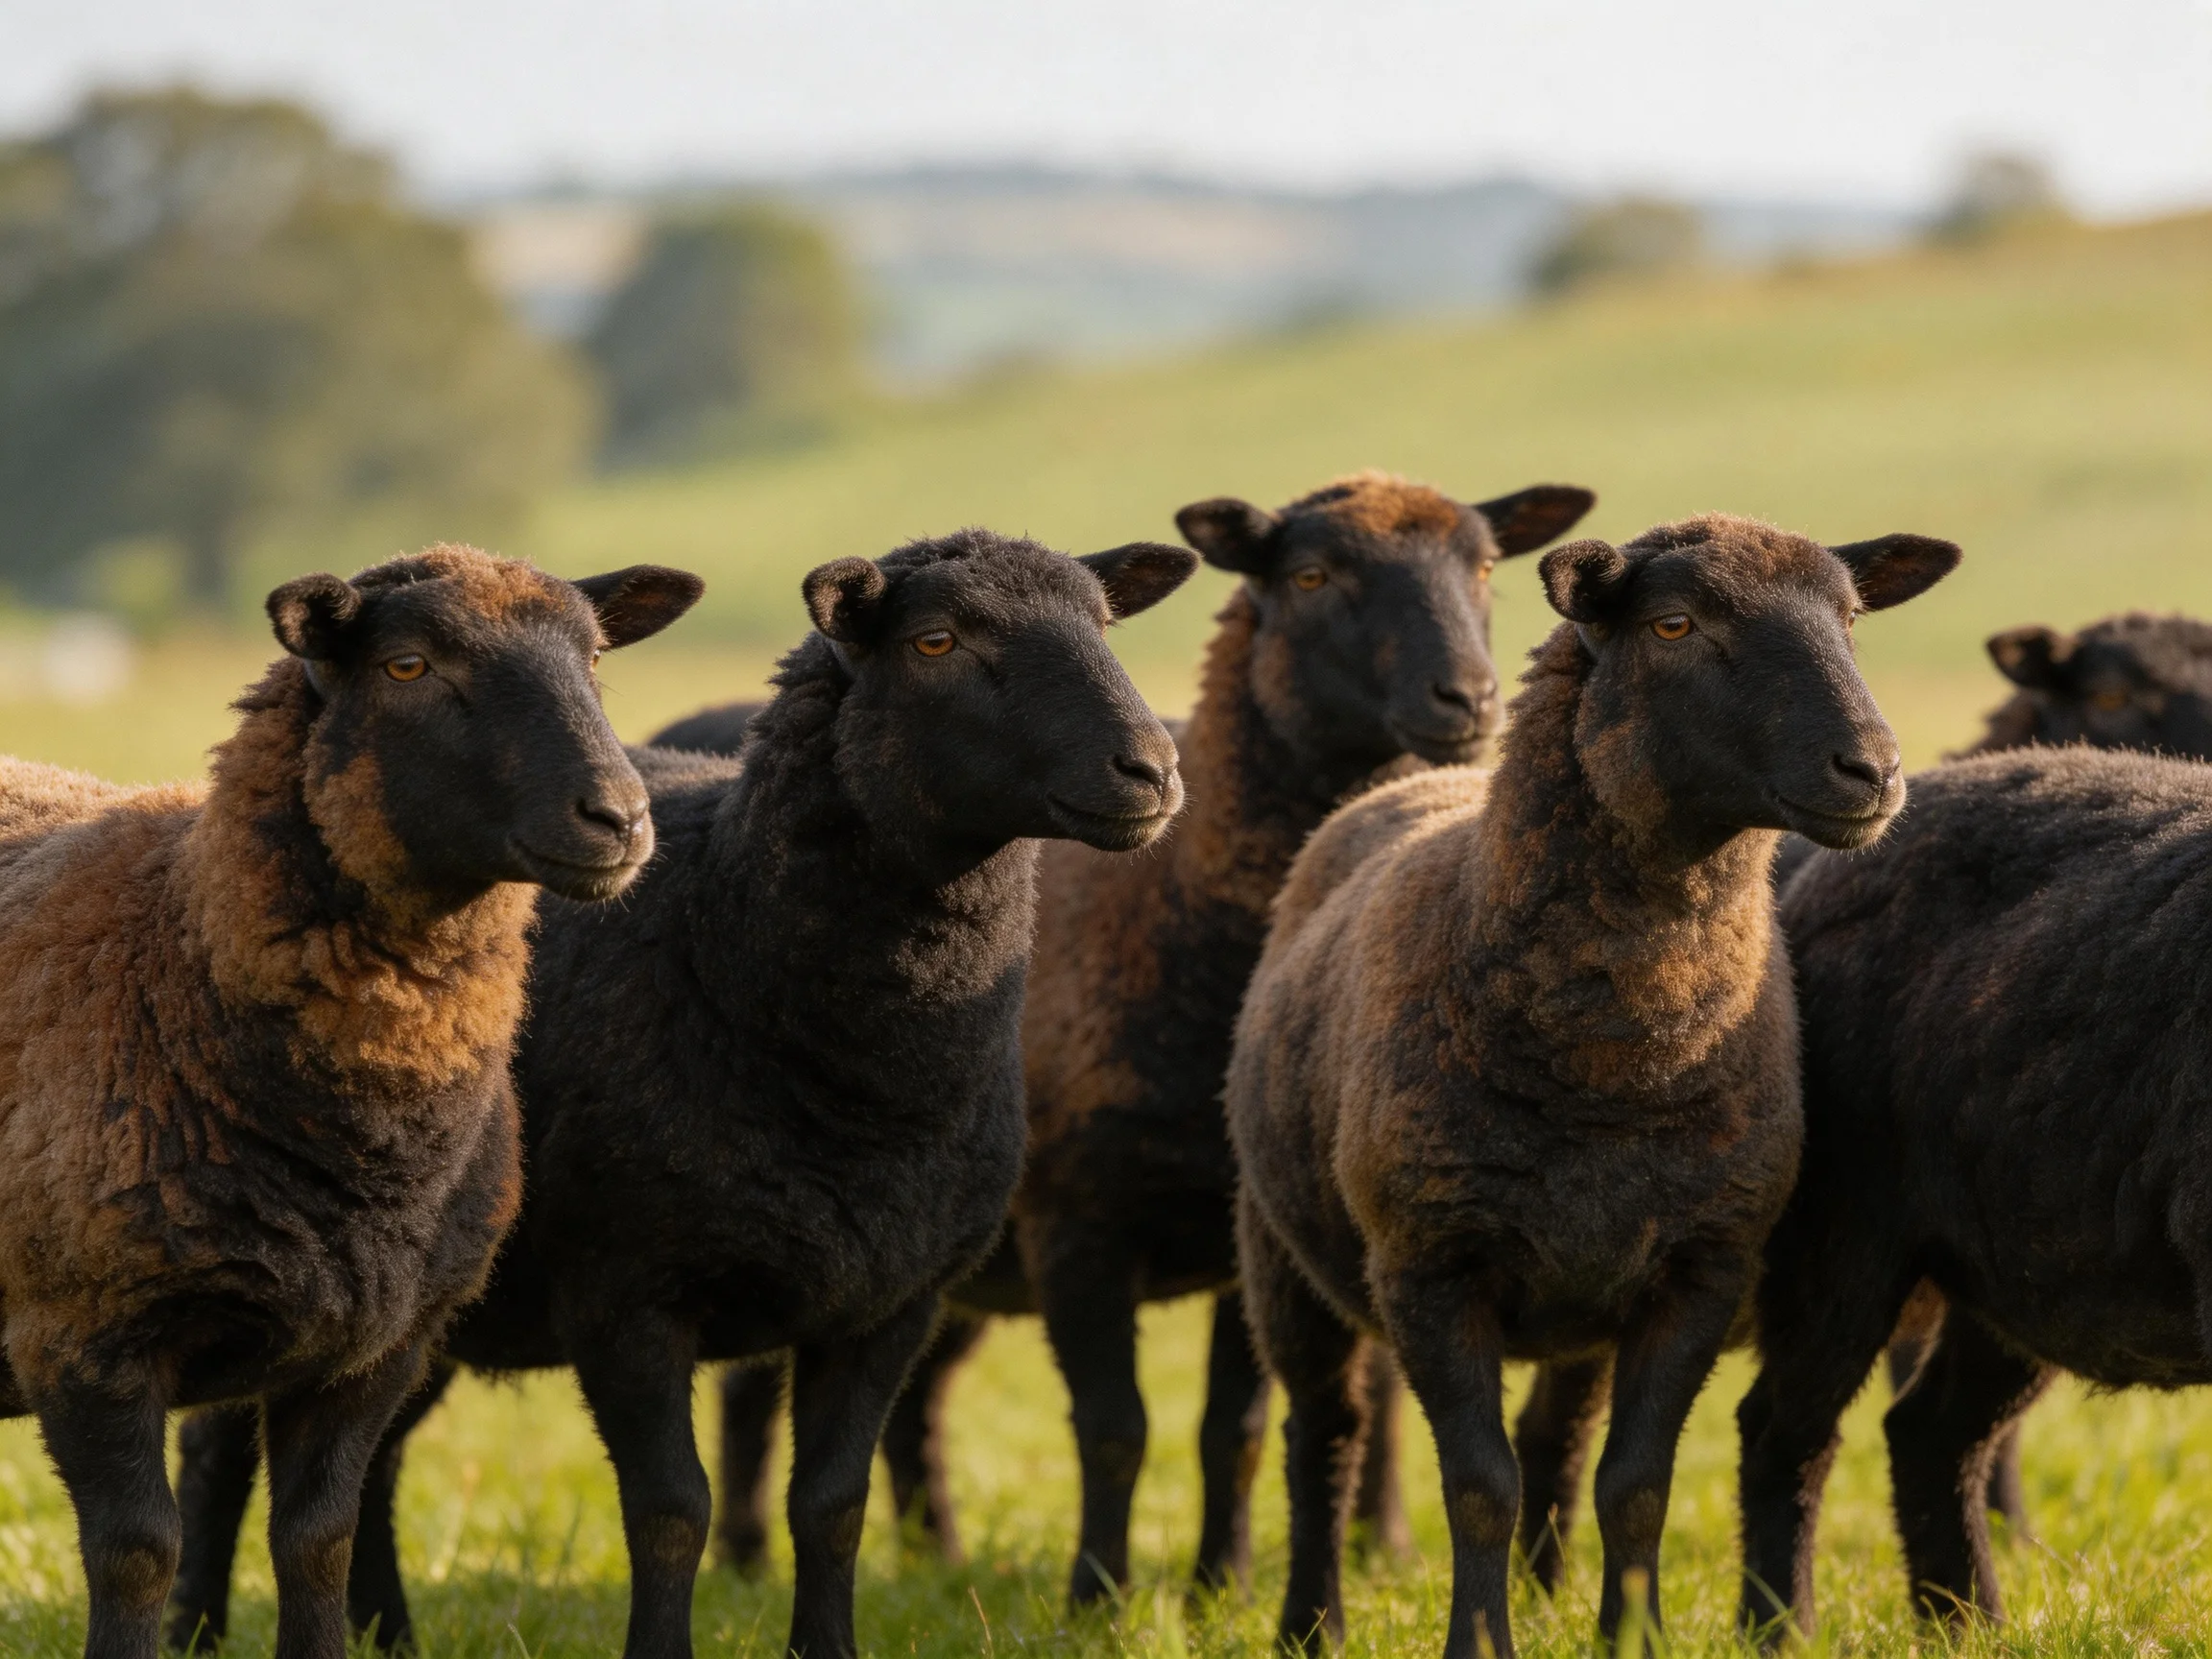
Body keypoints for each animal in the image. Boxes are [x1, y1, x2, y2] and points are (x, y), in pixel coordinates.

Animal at [0, 543, 699, 1659]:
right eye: (407, 665)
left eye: (595, 658)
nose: (622, 820)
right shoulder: (82, 1328)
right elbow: (137, 1551)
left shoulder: (376, 1345)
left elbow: (318, 1539)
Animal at [168, 528, 1197, 1659]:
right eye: (936, 640)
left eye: (1104, 622)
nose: (1152, 769)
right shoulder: (628, 1293)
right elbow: (672, 1509)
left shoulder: (890, 1300)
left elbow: (829, 1507)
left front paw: (826, 1649)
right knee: (222, 1453)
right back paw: (197, 1628)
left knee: (378, 1460)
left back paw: (390, 1631)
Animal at [660, 472, 1597, 1594]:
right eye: (1312, 575)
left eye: (1488, 565)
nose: (1468, 702)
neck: (1184, 911)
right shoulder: (1079, 1223)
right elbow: (1116, 1428)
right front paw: (1099, 1594)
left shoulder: (1248, 1233)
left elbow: (1232, 1429)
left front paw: (1219, 1583)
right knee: (756, 1387)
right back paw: (751, 1559)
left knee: (916, 1397)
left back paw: (936, 1554)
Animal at [1226, 514, 1959, 1659]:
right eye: (1674, 624)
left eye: (1851, 618)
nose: (1873, 770)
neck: (1615, 1068)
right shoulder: (1431, 1265)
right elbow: (1478, 1487)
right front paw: (1480, 1645)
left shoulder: (1697, 1266)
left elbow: (1636, 1484)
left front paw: (1633, 1638)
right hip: (1280, 1251)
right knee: (1323, 1438)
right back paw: (1312, 1625)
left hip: (1582, 1290)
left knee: (1554, 1434)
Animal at [1736, 742, 2212, 1638]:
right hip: (1840, 1230)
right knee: (1784, 1430)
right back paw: (1782, 1631)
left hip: (2021, 1273)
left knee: (1929, 1433)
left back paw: (1968, 1628)